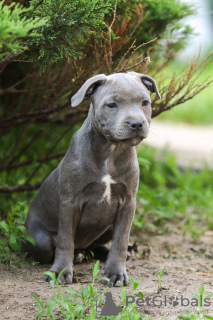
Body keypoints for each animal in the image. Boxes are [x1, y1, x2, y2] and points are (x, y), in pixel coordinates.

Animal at [22, 71, 160, 286]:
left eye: (145, 102)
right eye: (111, 105)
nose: (137, 124)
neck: (111, 150)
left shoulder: (128, 203)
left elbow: (121, 241)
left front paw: (115, 273)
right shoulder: (70, 202)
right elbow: (65, 240)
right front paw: (61, 271)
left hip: (108, 226)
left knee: (96, 245)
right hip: (39, 238)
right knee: (51, 246)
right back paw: (74, 257)